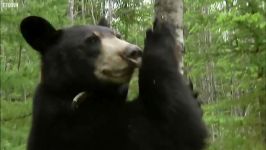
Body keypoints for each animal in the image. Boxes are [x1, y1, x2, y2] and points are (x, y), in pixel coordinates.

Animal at [20, 15, 208, 149]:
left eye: (118, 35)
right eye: (91, 40)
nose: (134, 51)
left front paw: (194, 94)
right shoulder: (87, 130)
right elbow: (178, 127)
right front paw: (157, 33)